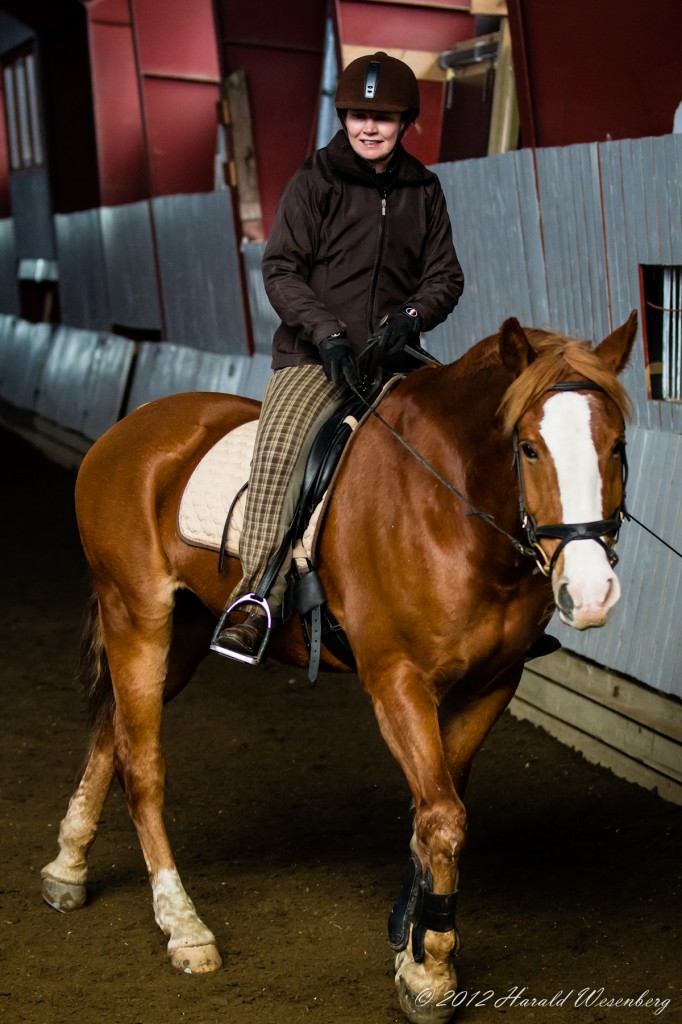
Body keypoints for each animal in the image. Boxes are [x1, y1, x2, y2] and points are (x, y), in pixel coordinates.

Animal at [41, 315, 630, 1019]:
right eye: (531, 449)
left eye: (618, 446)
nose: (592, 595)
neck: (455, 506)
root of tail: (129, 428)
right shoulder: (397, 681)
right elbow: (443, 819)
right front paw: (432, 972)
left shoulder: (492, 684)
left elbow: (435, 810)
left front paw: (411, 947)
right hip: (136, 615)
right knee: (143, 763)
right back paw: (183, 926)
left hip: (181, 633)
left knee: (116, 731)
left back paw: (67, 868)